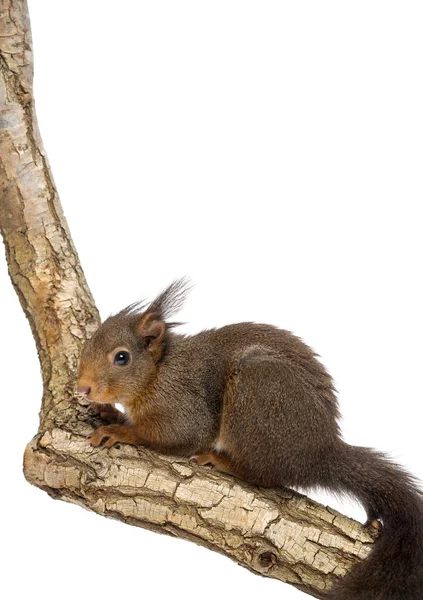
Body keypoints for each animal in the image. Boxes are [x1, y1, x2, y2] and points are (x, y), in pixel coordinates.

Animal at [77, 278, 423, 596]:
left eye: (122, 358)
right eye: (87, 347)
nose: (83, 387)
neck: (158, 372)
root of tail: (318, 454)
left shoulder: (183, 405)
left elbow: (175, 435)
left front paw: (119, 430)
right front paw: (111, 414)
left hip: (255, 391)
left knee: (262, 475)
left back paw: (223, 462)